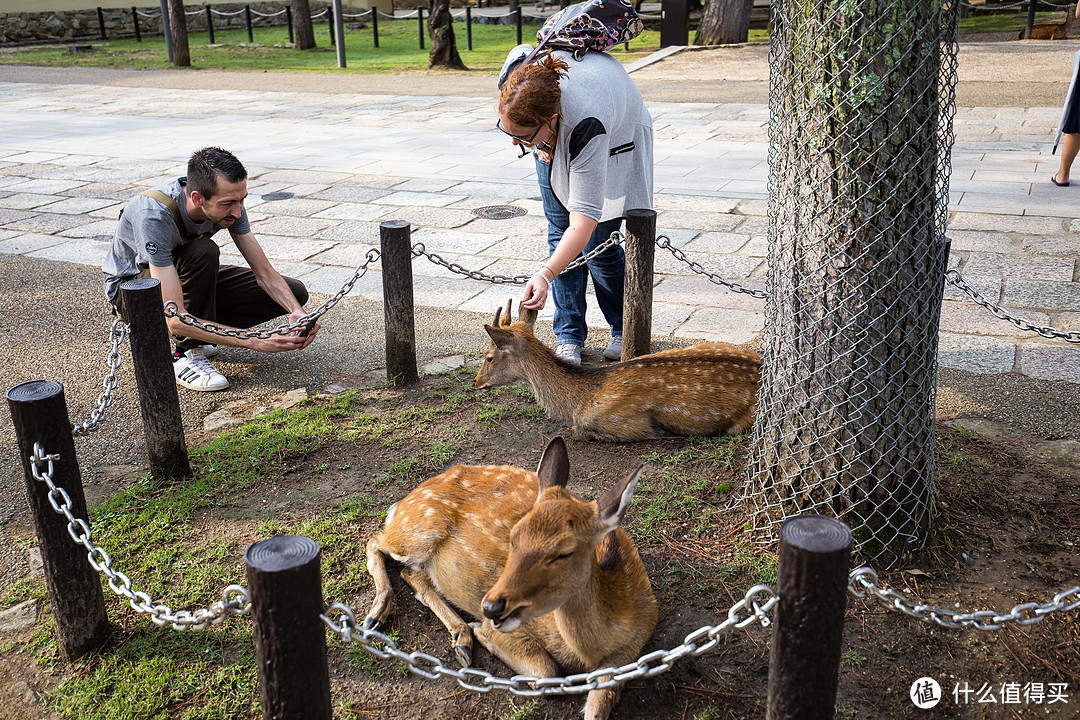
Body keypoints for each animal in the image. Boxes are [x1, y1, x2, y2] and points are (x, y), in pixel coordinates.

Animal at [365, 436, 656, 720]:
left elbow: (597, 709)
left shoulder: (628, 654)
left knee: (412, 573)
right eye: (514, 535)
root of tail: (401, 503)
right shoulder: (518, 627)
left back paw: (461, 639)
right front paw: (481, 631)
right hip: (416, 530)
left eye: (565, 552)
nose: (490, 607)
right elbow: (547, 672)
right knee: (375, 541)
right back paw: (377, 616)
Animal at [477, 300, 764, 444]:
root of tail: (762, 364)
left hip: (746, 420)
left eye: (489, 357)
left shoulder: (627, 423)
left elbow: (577, 431)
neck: (580, 400)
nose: (476, 382)